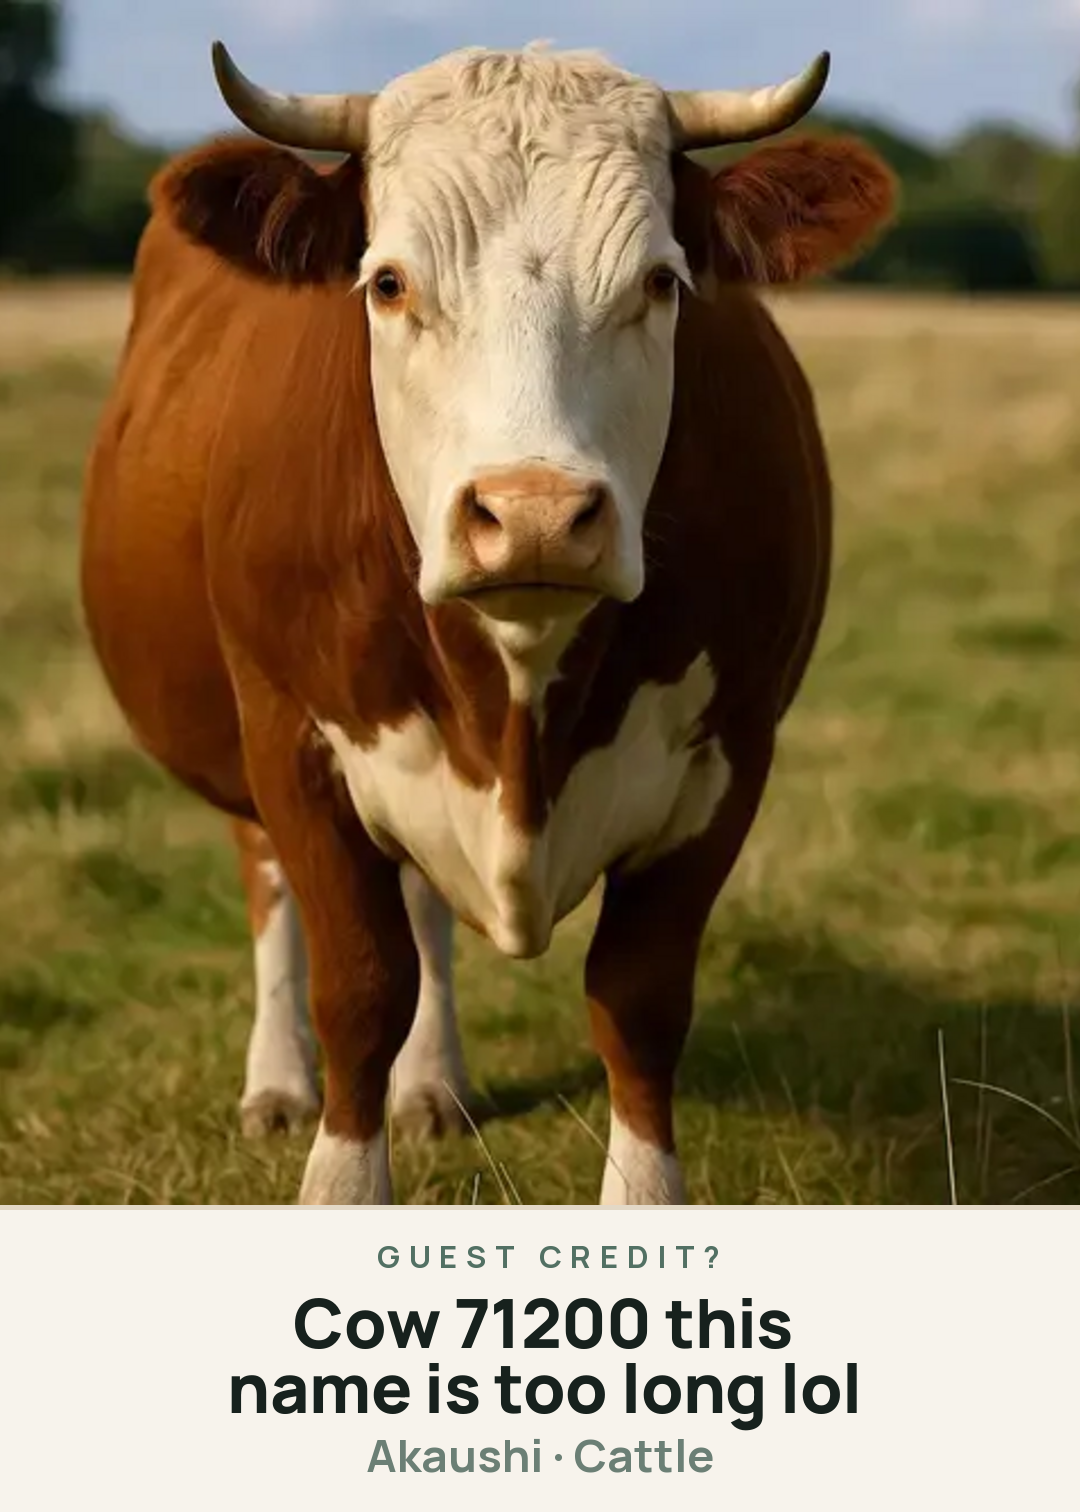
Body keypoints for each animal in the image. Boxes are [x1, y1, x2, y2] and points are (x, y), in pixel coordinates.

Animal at [80, 39, 895, 1205]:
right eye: (388, 282)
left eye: (660, 281)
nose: (535, 516)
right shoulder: (290, 736)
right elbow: (359, 988)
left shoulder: (731, 757)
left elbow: (639, 1001)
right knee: (270, 883)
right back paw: (276, 1082)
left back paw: (433, 1086)